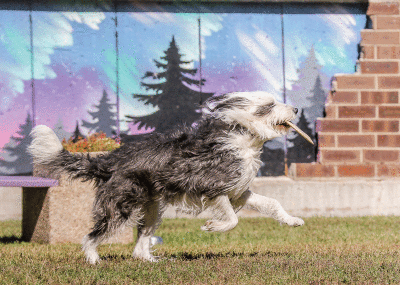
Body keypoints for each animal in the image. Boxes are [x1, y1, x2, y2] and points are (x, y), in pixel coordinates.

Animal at [28, 91, 304, 262]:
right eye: (269, 105)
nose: (297, 108)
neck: (242, 137)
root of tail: (109, 161)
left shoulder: (239, 192)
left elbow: (272, 203)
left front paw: (292, 220)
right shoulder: (213, 188)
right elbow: (232, 220)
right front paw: (213, 226)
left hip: (151, 208)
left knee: (140, 244)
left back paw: (152, 260)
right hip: (120, 206)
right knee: (91, 236)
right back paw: (94, 260)